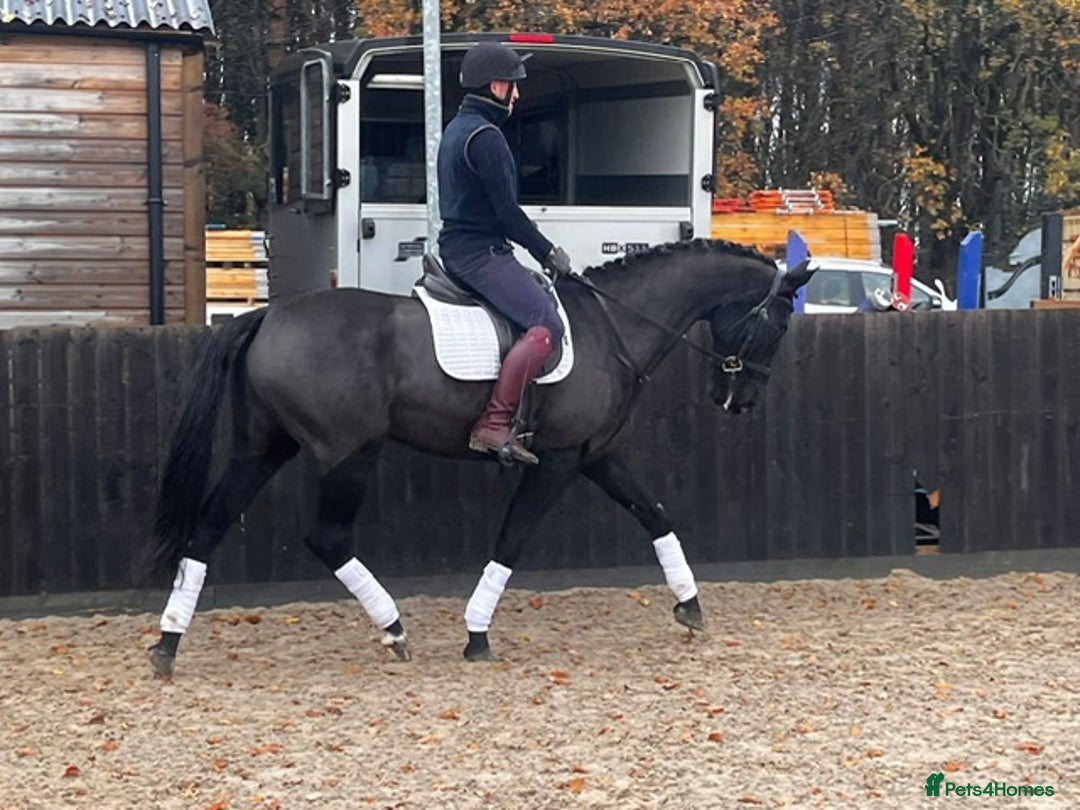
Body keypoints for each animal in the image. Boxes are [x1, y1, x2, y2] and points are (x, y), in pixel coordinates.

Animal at [144, 239, 812, 675]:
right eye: (780, 324)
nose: (740, 401)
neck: (613, 325)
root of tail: (267, 315)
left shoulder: (598, 454)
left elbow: (656, 516)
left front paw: (690, 606)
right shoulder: (560, 461)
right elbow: (512, 540)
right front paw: (477, 632)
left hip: (263, 448)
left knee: (207, 526)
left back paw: (168, 645)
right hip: (349, 452)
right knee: (327, 537)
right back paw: (393, 628)